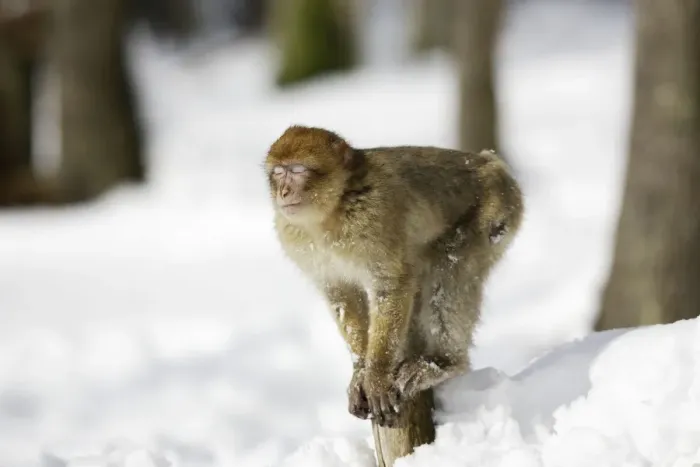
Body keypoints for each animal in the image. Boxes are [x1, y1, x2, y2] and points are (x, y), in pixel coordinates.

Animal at [264, 125, 524, 427]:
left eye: (297, 170)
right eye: (278, 172)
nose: (283, 191)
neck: (334, 210)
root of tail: (493, 163)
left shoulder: (374, 217)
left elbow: (392, 284)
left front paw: (376, 375)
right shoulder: (294, 237)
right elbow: (342, 296)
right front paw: (360, 369)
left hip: (493, 217)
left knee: (449, 275)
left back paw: (443, 363)